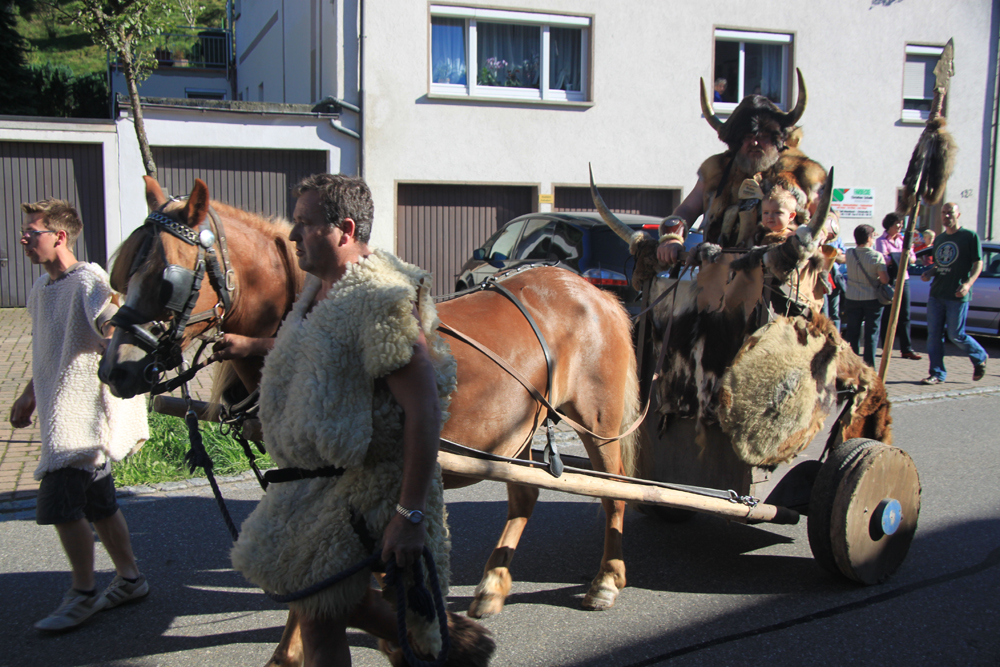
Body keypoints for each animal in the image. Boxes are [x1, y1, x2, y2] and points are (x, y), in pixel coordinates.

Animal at [99, 177, 640, 667]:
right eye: (120, 273)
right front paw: (302, 648)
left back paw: (607, 579)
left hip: (596, 422)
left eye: (165, 279)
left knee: (615, 490)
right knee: (526, 494)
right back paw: (492, 585)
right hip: (517, 431)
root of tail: (590, 290)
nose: (114, 370)